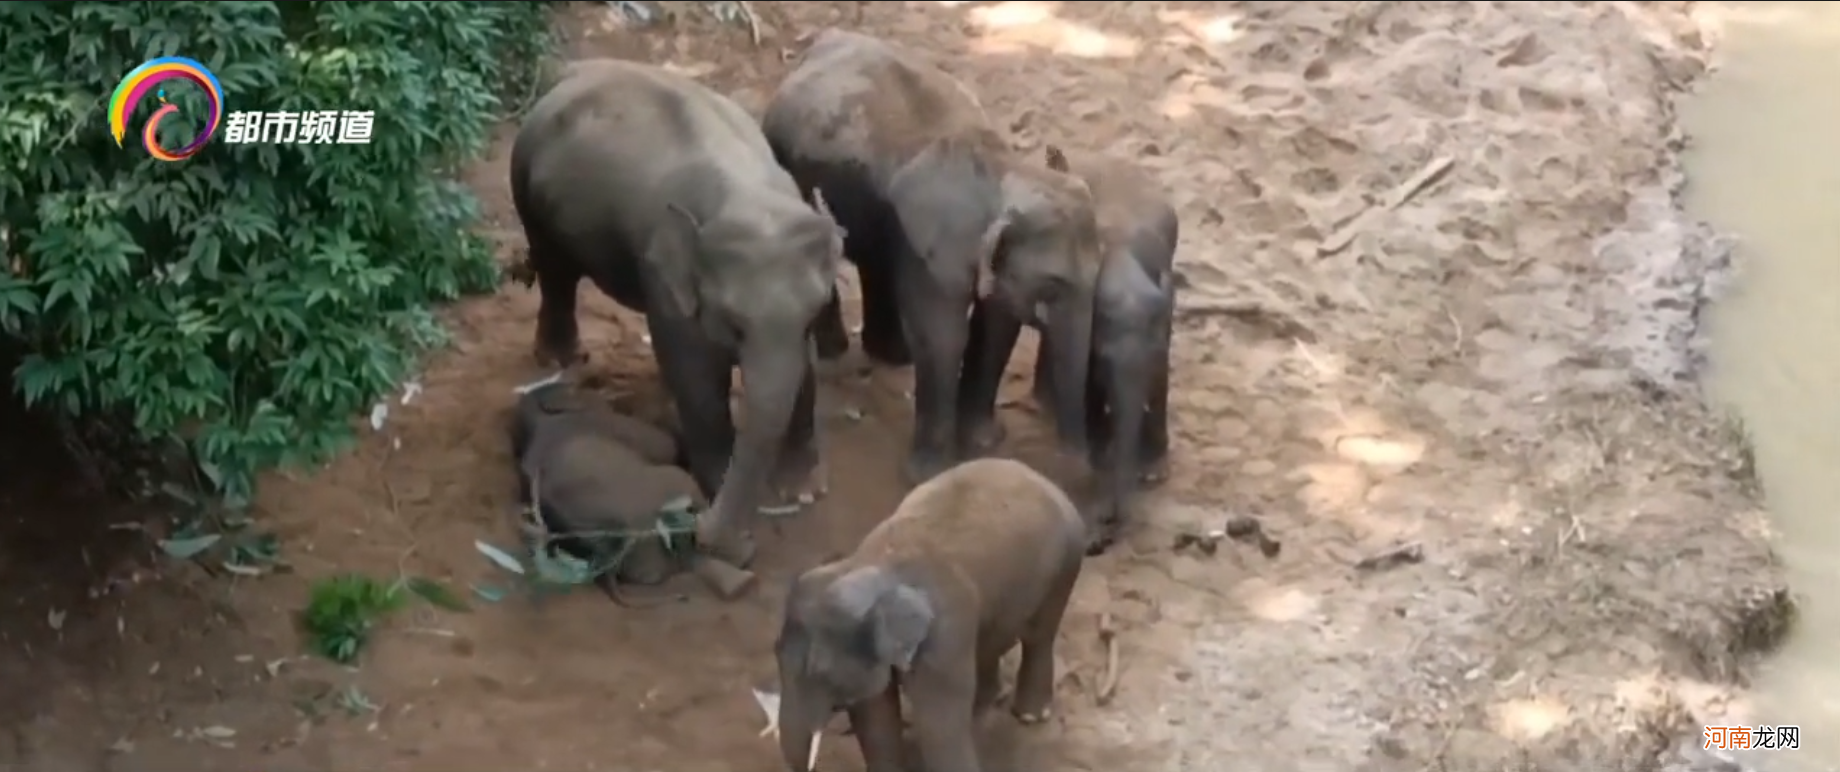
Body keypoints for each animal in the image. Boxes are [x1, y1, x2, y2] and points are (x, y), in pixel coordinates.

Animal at [507, 58, 842, 566]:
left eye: (815, 313)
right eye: (734, 325)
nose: (712, 532)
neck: (747, 199)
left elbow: (805, 372)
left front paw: (803, 490)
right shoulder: (664, 281)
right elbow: (696, 379)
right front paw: (718, 483)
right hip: (526, 188)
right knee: (555, 269)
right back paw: (561, 359)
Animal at [761, 33, 1104, 488]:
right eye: (1052, 285)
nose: (1075, 469)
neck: (1001, 170)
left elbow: (998, 327)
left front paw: (983, 444)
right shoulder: (934, 245)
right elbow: (943, 336)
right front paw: (927, 474)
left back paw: (893, 355)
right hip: (785, 163)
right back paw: (839, 354)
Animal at [769, 457, 1081, 772]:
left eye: (819, 671)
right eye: (774, 652)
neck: (868, 564)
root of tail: (1039, 476)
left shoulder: (945, 637)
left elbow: (938, 726)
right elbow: (875, 716)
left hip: (1066, 564)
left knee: (1039, 635)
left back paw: (1031, 715)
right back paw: (985, 702)